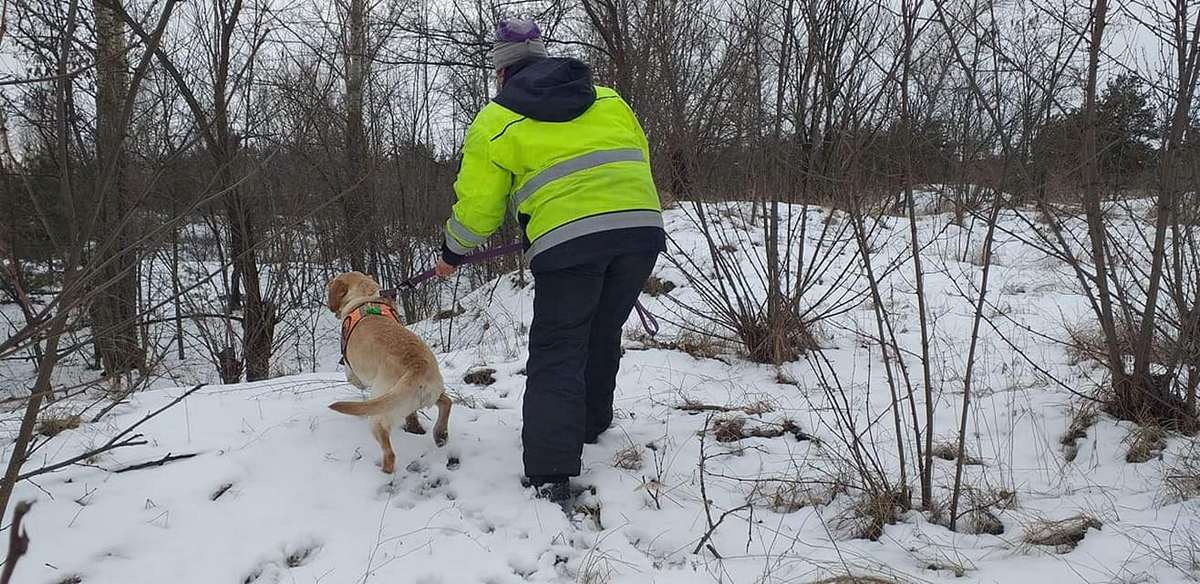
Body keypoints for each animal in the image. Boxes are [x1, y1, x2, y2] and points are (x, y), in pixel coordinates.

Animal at [324, 272, 451, 472]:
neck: (366, 296)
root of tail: (417, 367)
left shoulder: (350, 369)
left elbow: (353, 378)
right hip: (429, 393)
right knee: (447, 402)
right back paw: (440, 435)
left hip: (380, 411)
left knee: (389, 452)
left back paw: (383, 471)